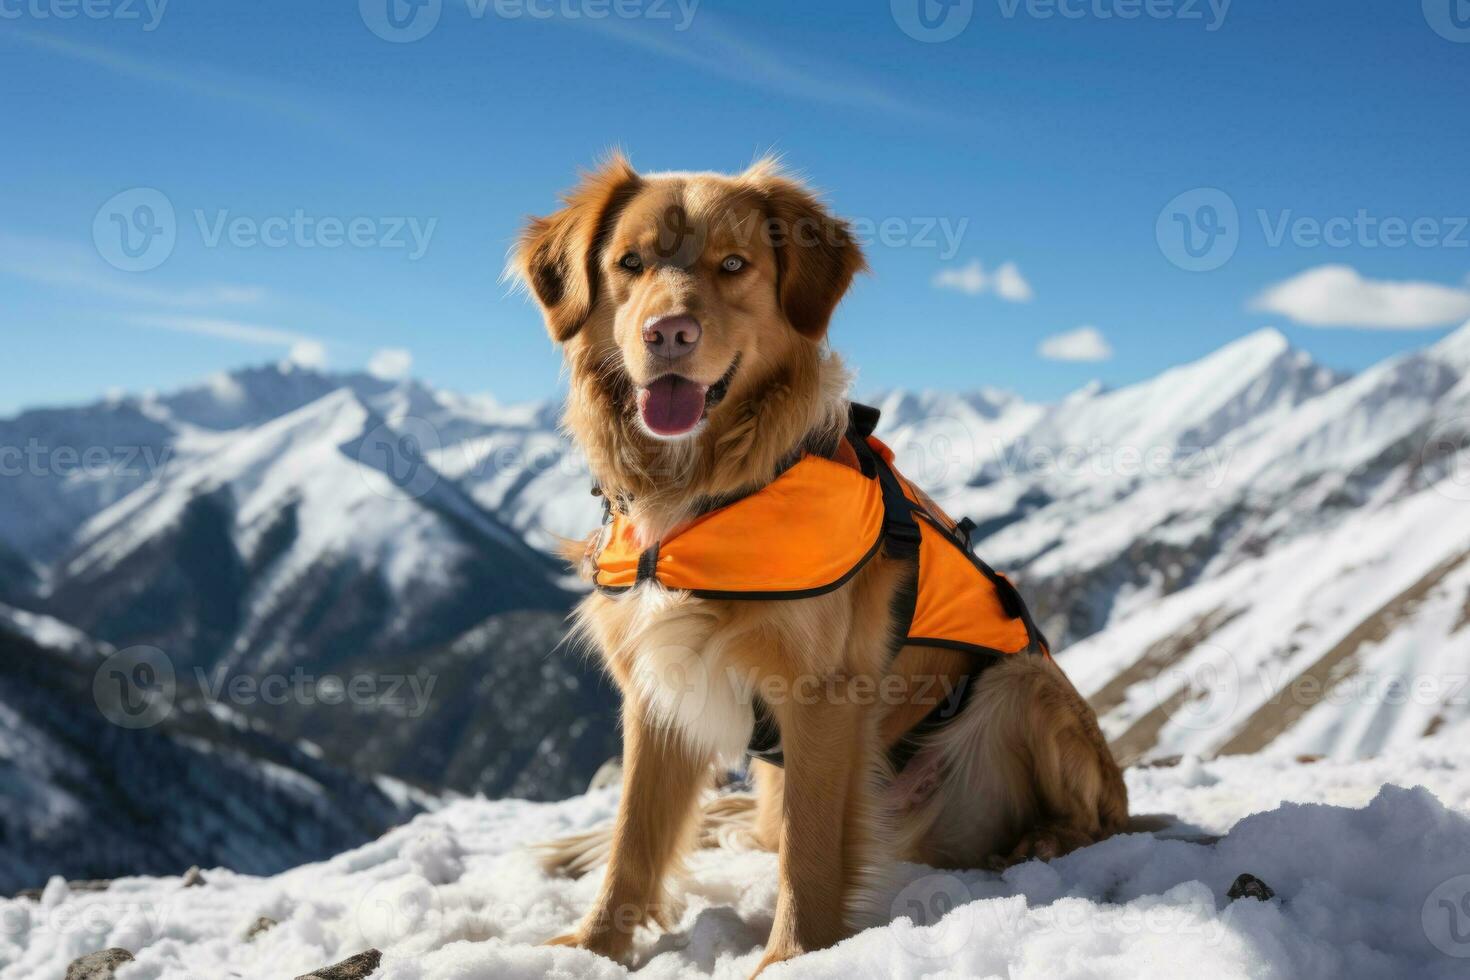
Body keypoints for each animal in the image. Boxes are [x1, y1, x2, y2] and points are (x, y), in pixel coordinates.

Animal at [514, 157, 1123, 975]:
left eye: (733, 265)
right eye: (630, 263)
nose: (668, 332)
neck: (701, 490)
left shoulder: (822, 691)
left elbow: (809, 852)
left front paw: (792, 957)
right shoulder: (657, 685)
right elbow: (634, 836)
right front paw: (592, 948)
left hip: (1024, 685)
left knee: (1094, 819)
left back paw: (1044, 839)